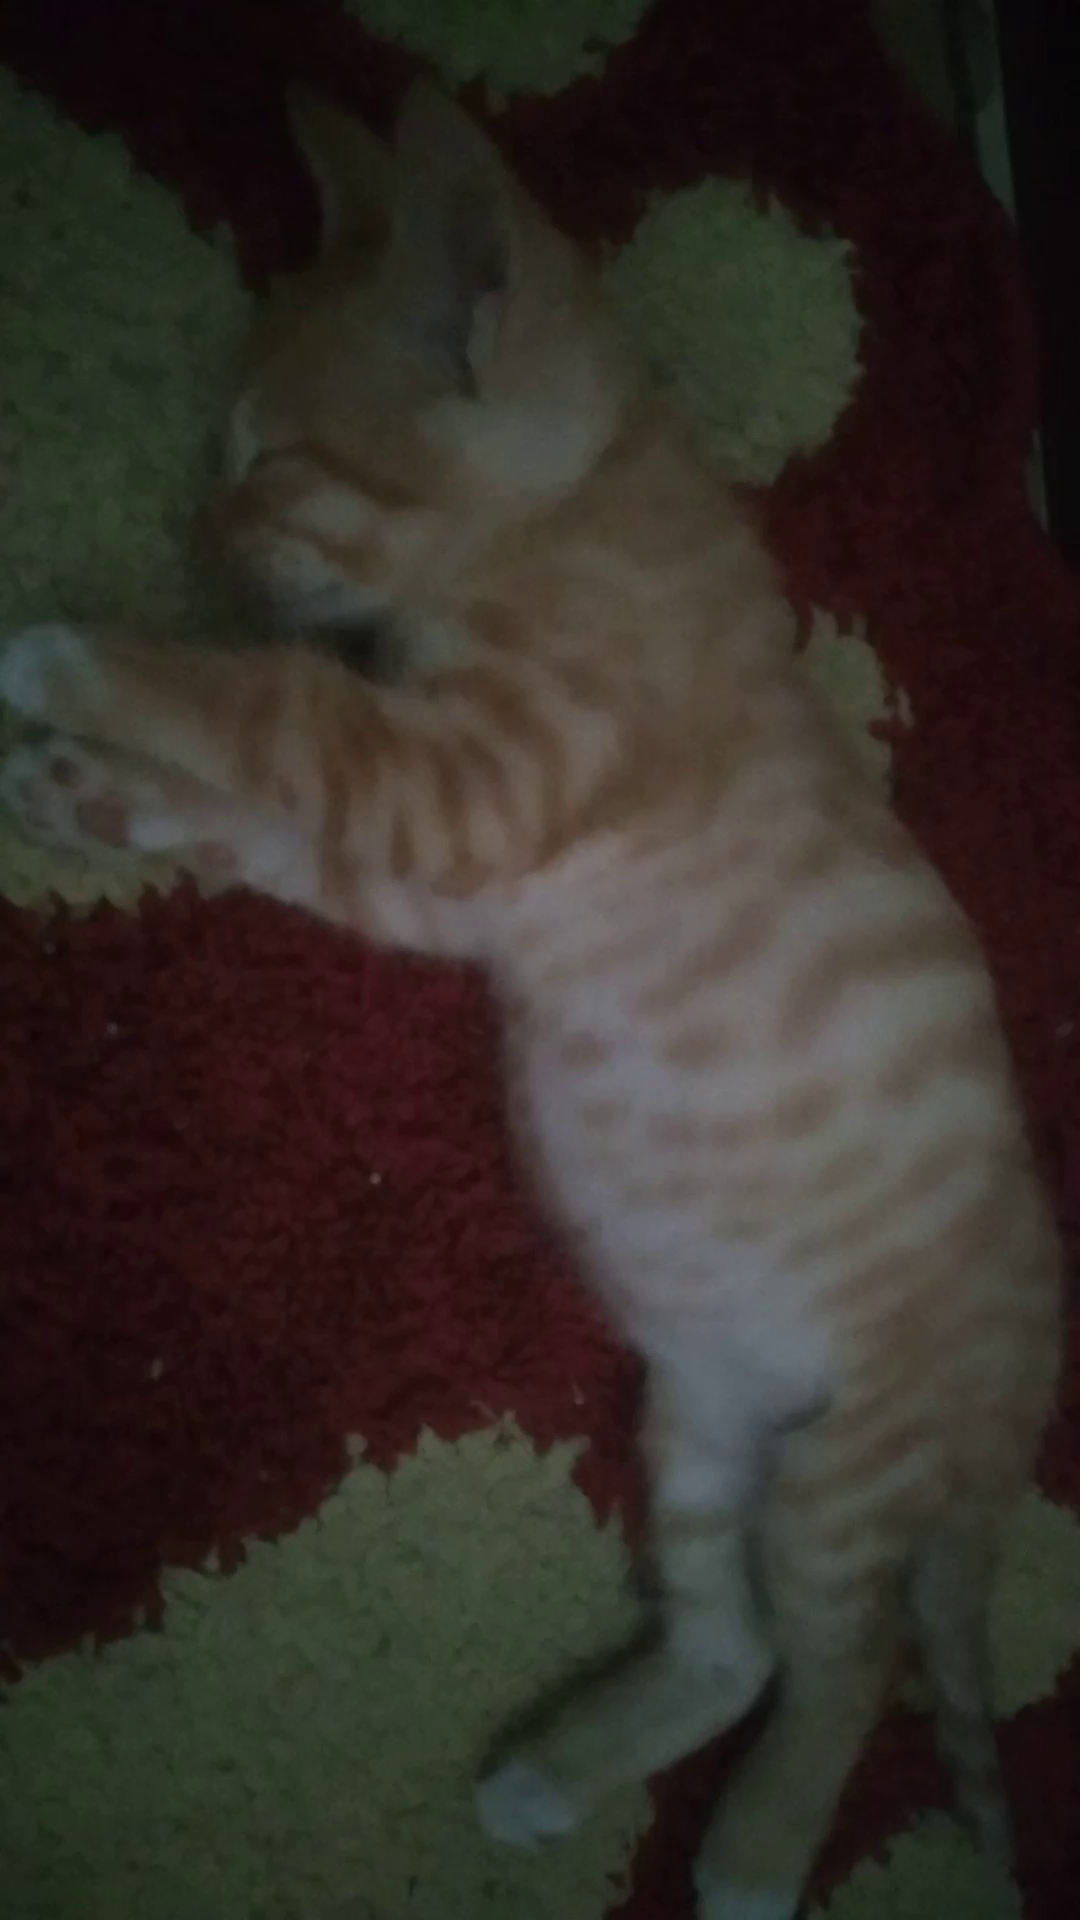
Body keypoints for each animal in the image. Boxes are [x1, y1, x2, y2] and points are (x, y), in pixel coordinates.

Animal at [0, 83, 1061, 1920]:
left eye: (265, 461)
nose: (193, 547)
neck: (572, 522)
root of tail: (1021, 1400)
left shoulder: (471, 785)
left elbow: (276, 706)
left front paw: (74, 658)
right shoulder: (433, 869)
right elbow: (255, 805)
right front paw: (78, 792)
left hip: (853, 1467)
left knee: (844, 1664)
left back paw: (756, 1854)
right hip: (704, 1421)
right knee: (734, 1646)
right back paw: (559, 1776)